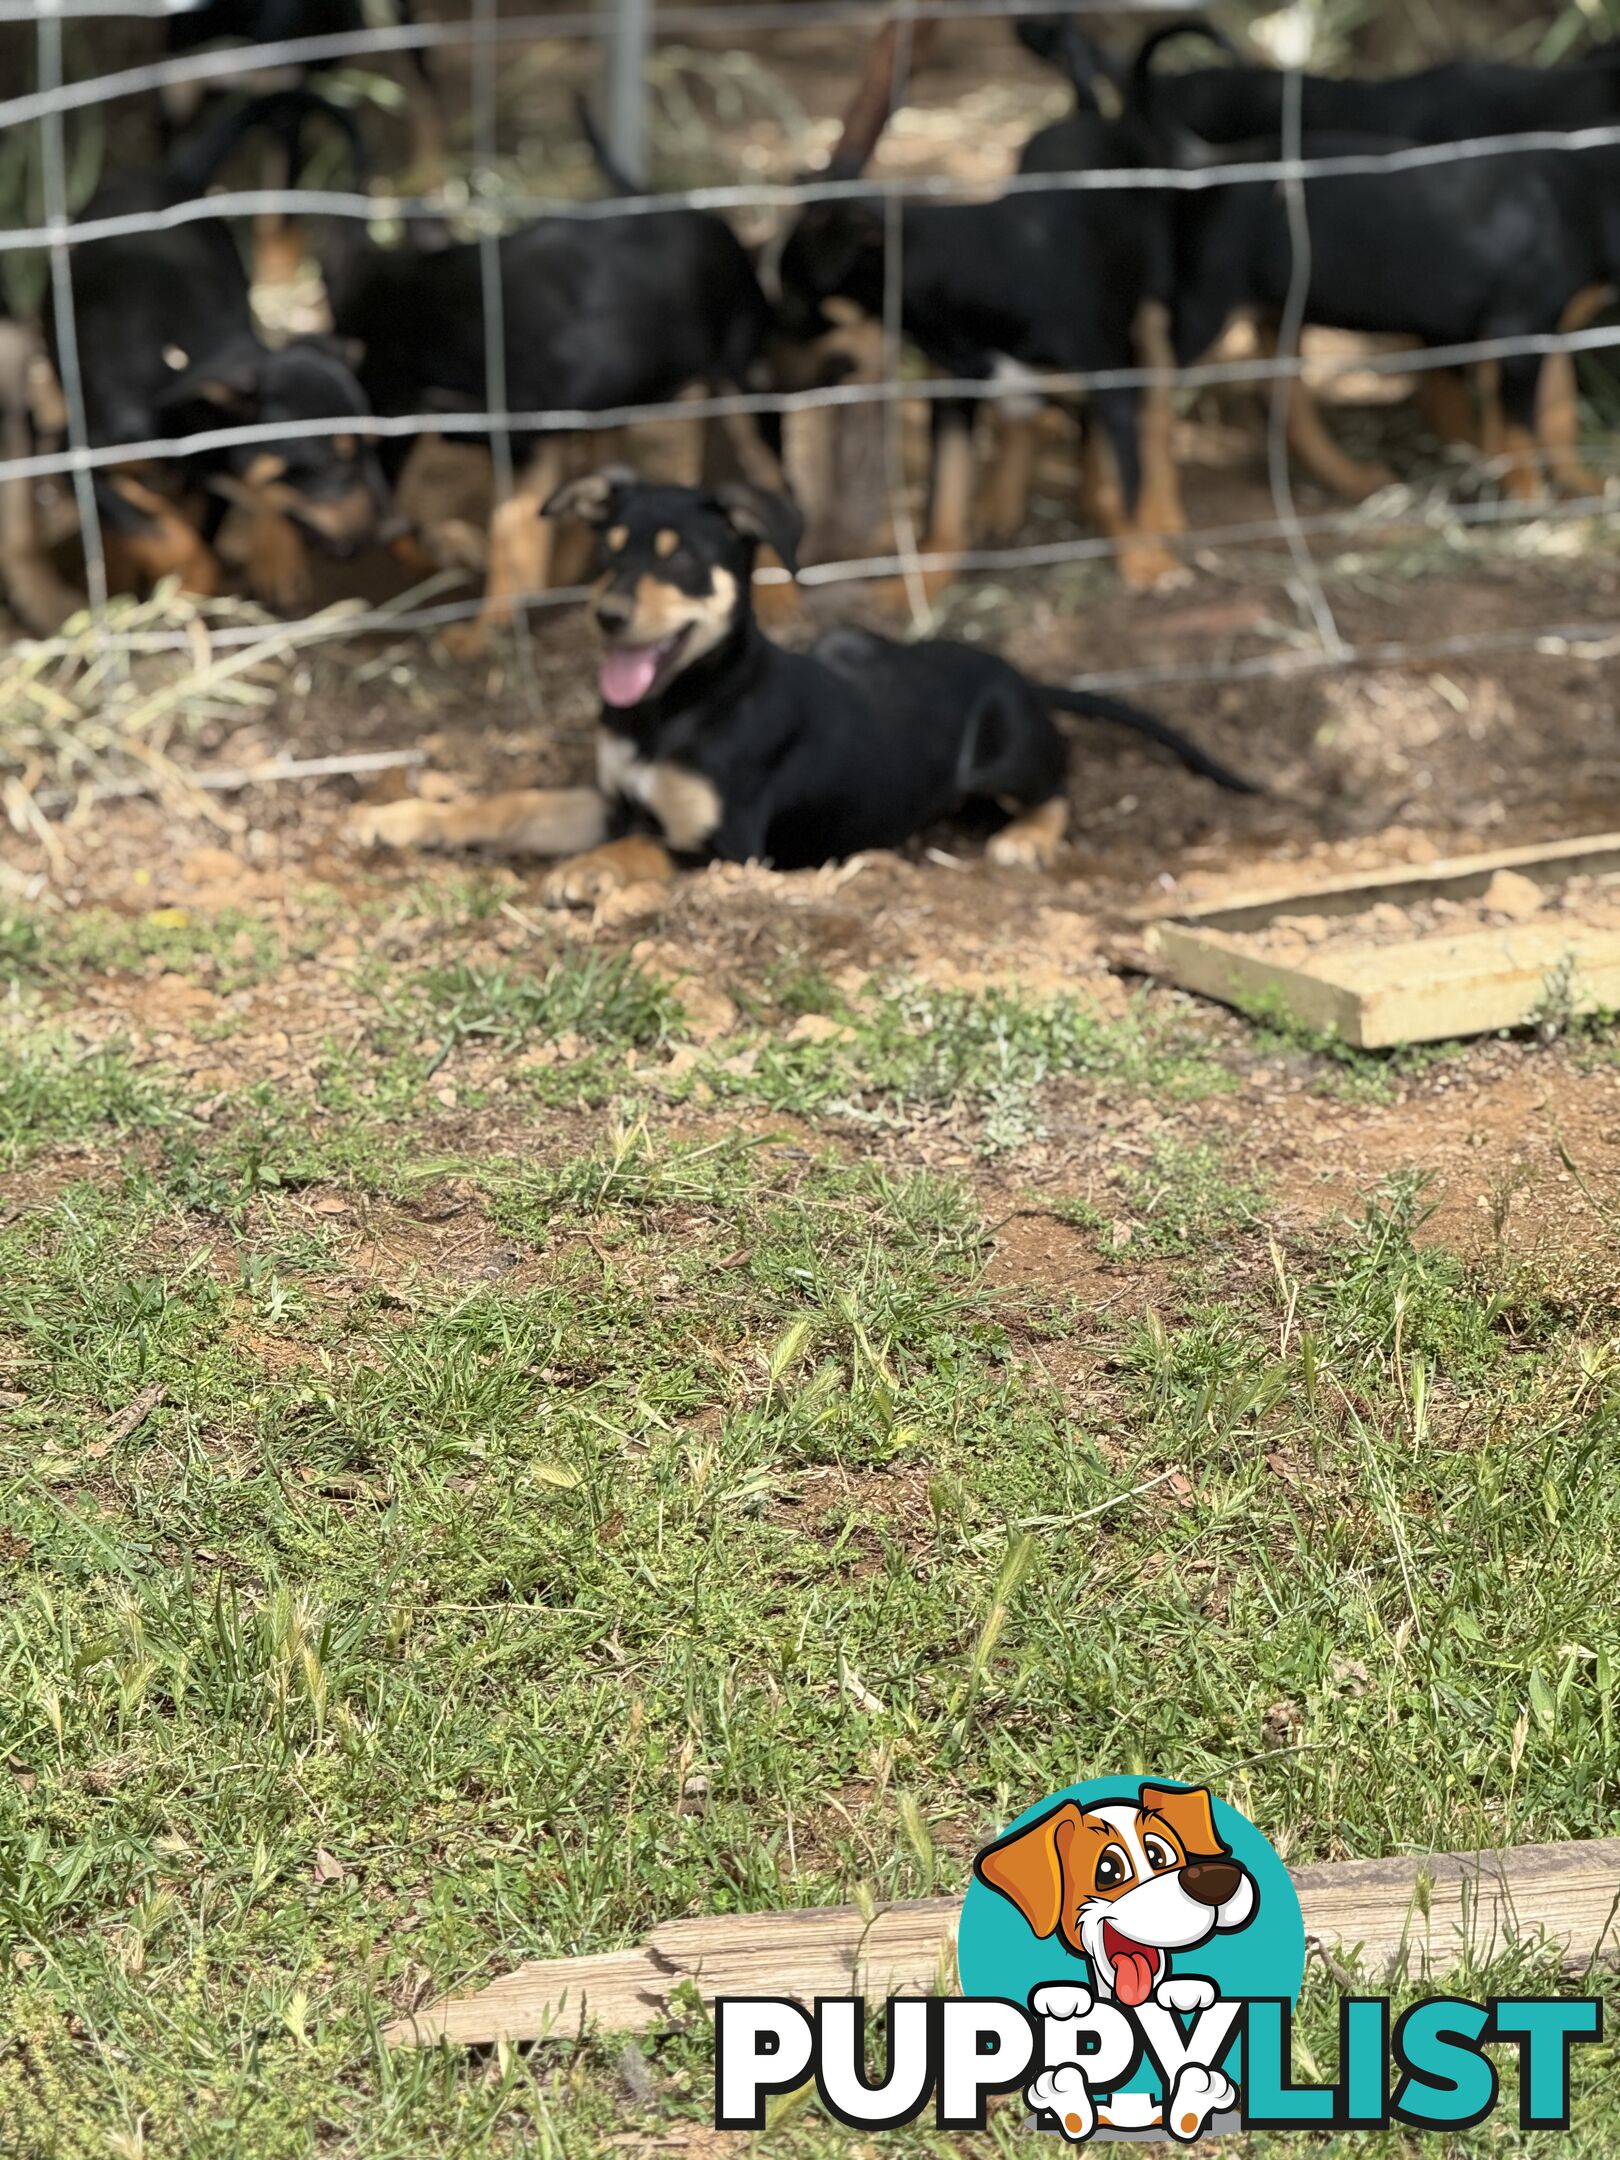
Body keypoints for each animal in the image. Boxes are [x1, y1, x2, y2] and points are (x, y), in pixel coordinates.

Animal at [354, 473, 1252, 894]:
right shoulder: (610, 798)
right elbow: (508, 803)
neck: (679, 706)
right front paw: (402, 820)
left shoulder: (729, 845)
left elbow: (644, 845)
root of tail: (1016, 671)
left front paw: (591, 872)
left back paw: (1025, 838)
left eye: (682, 559)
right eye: (610, 550)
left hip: (1009, 752)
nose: (606, 615)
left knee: (1062, 781)